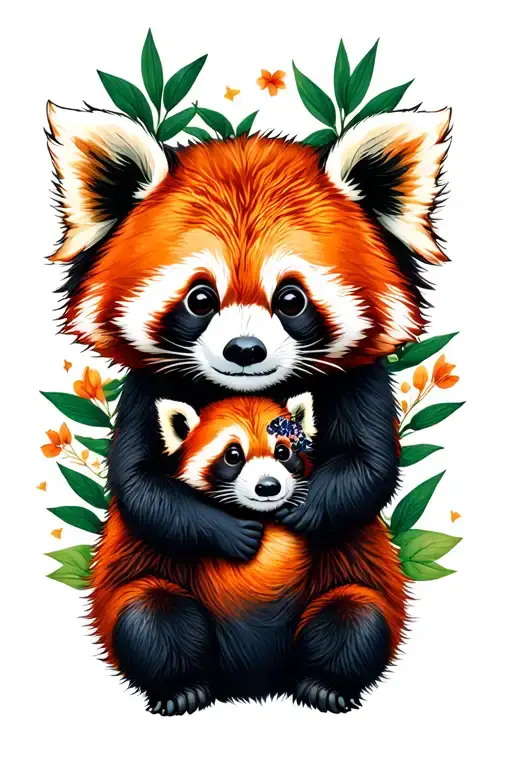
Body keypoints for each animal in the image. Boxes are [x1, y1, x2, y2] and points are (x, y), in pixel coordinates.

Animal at [46, 101, 450, 712]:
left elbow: (371, 465)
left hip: (356, 586)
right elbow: (139, 483)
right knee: (151, 619)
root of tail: (253, 684)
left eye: (291, 298)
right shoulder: (144, 391)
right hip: (142, 590)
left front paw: (300, 511)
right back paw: (183, 688)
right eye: (200, 298)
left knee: (355, 621)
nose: (245, 350)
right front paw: (233, 531)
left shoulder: (361, 386)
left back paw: (324, 685)